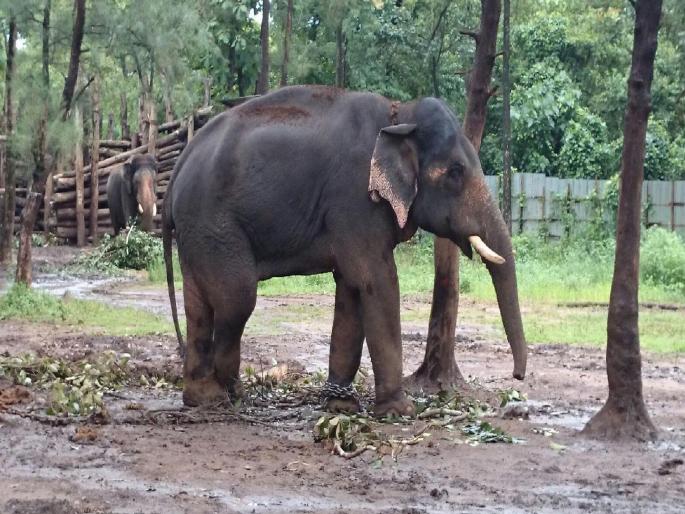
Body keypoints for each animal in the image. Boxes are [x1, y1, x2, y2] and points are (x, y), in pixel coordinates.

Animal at [162, 85, 527, 417]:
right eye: (455, 172)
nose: (518, 376)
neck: (399, 114)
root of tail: (181, 162)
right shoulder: (355, 199)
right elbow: (378, 281)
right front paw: (400, 411)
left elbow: (352, 288)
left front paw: (341, 406)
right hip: (214, 223)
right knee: (237, 298)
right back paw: (228, 392)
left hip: (198, 231)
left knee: (199, 304)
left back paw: (203, 397)